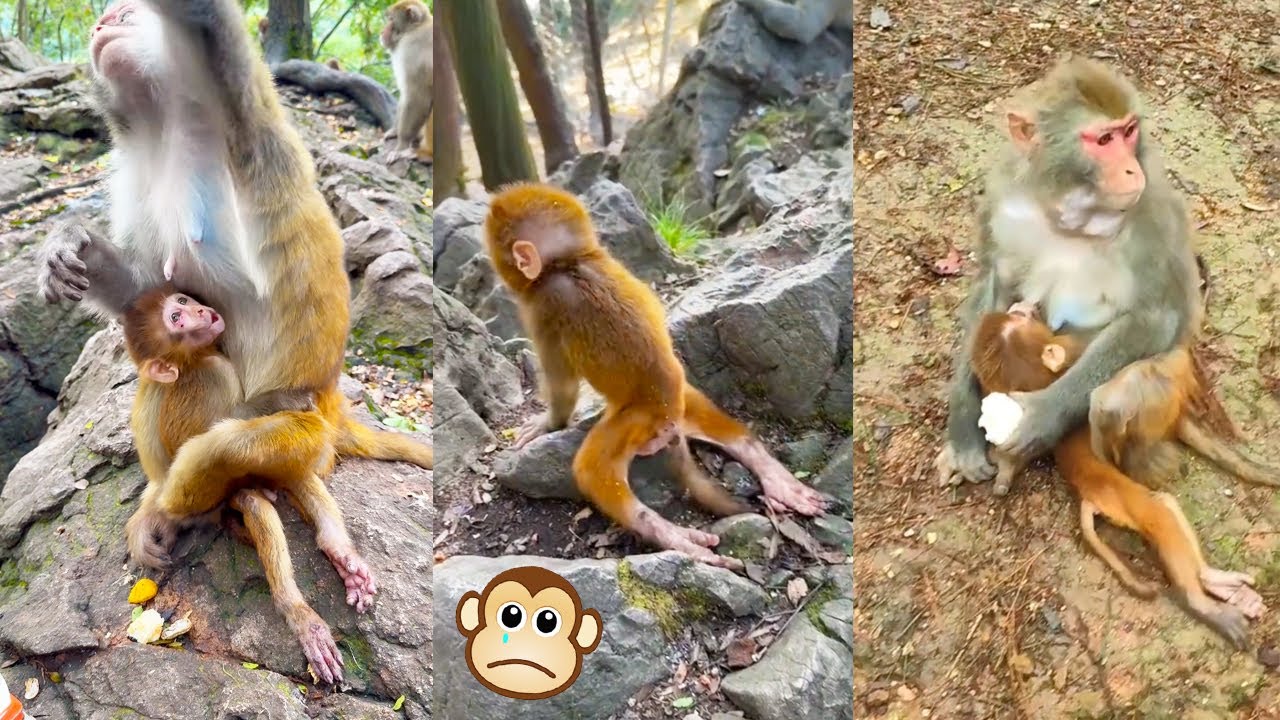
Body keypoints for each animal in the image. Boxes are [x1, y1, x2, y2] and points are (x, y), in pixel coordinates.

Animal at [119, 284, 376, 684]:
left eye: (182, 301)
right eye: (176, 319)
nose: (200, 311)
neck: (198, 359)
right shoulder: (212, 376)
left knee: (288, 469)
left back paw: (339, 551)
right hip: (214, 502)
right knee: (250, 493)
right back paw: (298, 612)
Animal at [380, 0, 433, 163]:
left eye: (391, 19)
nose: (382, 31)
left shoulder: (411, 52)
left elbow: (417, 98)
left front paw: (401, 145)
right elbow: (405, 95)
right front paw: (394, 131)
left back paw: (426, 154)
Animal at [483, 183, 828, 570]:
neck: (573, 262)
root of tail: (667, 418)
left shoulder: (543, 306)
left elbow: (562, 386)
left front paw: (547, 423)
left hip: (637, 420)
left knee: (592, 469)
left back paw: (671, 536)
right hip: (674, 401)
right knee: (702, 410)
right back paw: (766, 467)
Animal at [937, 57, 1202, 493]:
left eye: (1129, 131)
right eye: (1104, 140)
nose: (1131, 171)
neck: (1071, 213)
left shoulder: (1152, 213)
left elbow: (1155, 317)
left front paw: (1041, 417)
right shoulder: (1005, 200)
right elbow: (996, 280)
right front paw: (962, 429)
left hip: (1175, 374)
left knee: (1111, 403)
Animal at [967, 306, 1265, 648]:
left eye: (1020, 316)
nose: (1028, 307)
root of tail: (1088, 494)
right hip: (1122, 498)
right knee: (1160, 510)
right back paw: (1201, 599)